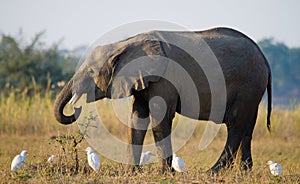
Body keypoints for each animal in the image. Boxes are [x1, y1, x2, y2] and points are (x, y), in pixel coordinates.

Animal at [53, 27, 272, 174]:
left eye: (91, 72)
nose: (77, 108)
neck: (124, 44)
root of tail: (264, 58)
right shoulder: (142, 81)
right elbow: (137, 119)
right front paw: (131, 173)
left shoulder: (164, 79)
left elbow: (160, 119)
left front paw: (166, 174)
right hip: (253, 88)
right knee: (248, 127)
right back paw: (245, 172)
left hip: (248, 83)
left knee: (235, 125)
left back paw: (212, 172)